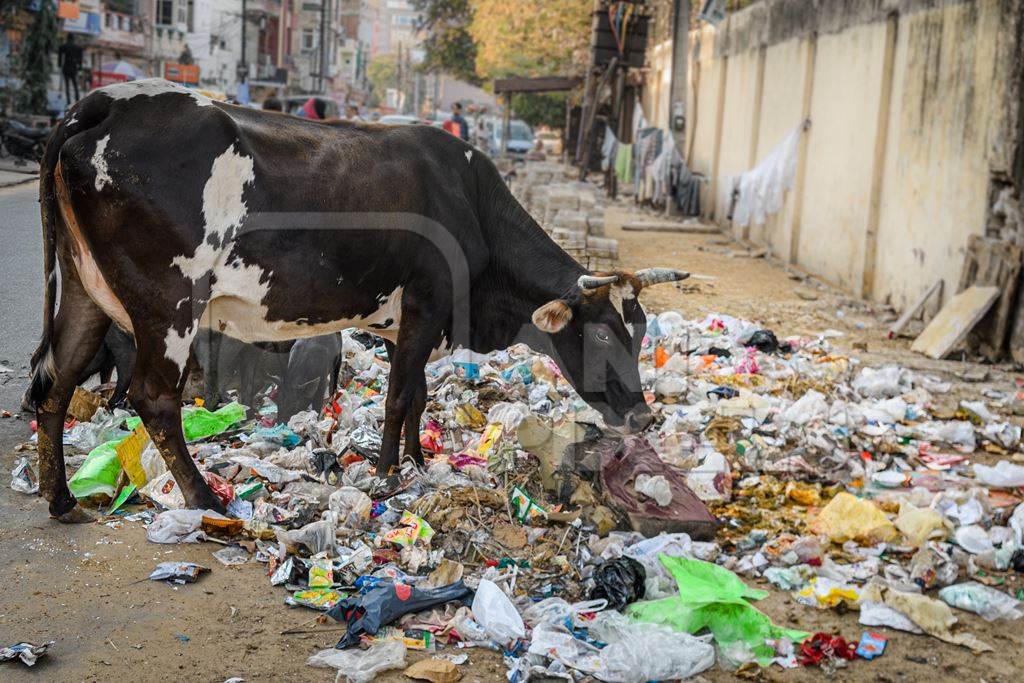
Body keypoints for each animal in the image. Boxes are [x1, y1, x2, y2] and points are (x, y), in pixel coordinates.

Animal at [29, 78, 688, 518]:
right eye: (600, 331)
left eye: (641, 330)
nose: (644, 416)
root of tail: (104, 101)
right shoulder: (425, 306)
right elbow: (398, 398)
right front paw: (388, 475)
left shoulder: (410, 324)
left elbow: (417, 396)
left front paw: (418, 462)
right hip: (169, 302)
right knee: (152, 396)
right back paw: (203, 499)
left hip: (84, 288)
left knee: (55, 380)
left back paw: (59, 497)